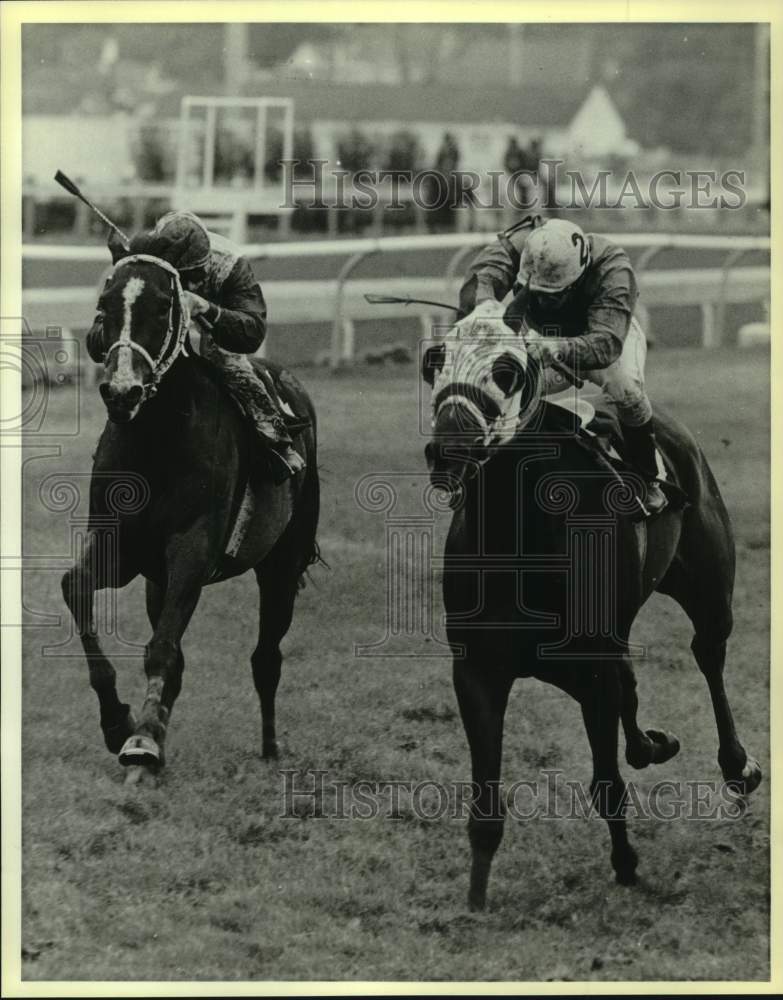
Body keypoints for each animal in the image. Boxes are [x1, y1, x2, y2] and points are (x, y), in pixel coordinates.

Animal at [59, 254, 320, 776]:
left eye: (164, 306)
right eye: (104, 304)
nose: (122, 392)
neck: (155, 443)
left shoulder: (193, 550)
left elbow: (162, 647)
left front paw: (142, 741)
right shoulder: (124, 550)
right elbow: (74, 587)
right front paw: (118, 723)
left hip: (282, 564)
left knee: (266, 657)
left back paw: (270, 746)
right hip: (156, 582)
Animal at [426, 328, 764, 916]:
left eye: (506, 372)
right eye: (436, 362)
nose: (448, 449)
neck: (520, 541)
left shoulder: (593, 667)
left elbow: (608, 778)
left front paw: (626, 864)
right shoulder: (478, 672)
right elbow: (487, 795)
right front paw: (476, 893)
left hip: (708, 588)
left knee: (708, 655)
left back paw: (737, 766)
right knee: (636, 688)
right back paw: (653, 744)